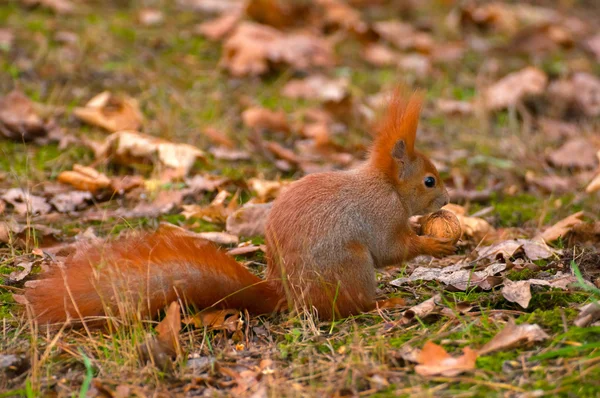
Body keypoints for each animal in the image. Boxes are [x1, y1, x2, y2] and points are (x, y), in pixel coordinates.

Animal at [23, 88, 454, 324]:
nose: (448, 200)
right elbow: (391, 249)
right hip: (351, 266)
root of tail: (287, 295)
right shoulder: (381, 215)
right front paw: (435, 243)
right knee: (353, 306)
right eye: (429, 181)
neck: (386, 185)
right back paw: (385, 302)